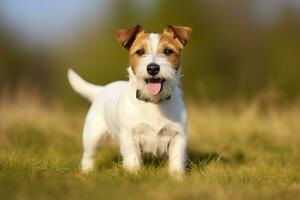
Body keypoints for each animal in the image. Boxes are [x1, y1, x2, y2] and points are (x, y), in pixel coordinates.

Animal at [67, 24, 192, 175]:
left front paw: (176, 177)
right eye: (140, 52)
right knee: (88, 155)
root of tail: (102, 89)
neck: (153, 102)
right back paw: (87, 171)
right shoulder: (129, 137)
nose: (152, 68)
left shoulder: (178, 136)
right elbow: (132, 159)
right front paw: (134, 175)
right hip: (92, 136)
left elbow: (176, 160)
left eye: (168, 51)